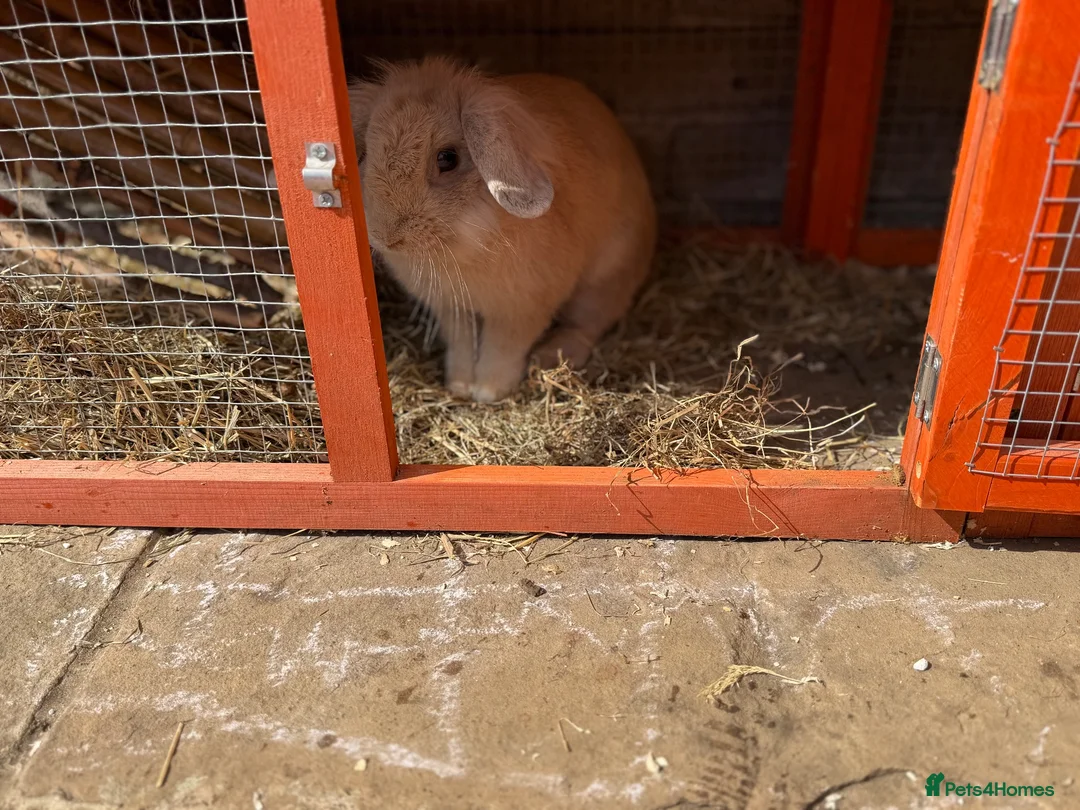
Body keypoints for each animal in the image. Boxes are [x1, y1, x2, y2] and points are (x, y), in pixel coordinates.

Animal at [347, 56, 657, 403]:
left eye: (447, 158)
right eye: (366, 152)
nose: (385, 235)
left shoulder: (521, 309)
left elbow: (502, 348)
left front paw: (488, 391)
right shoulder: (454, 310)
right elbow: (462, 345)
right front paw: (460, 386)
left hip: (604, 280)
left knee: (589, 324)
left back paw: (551, 356)